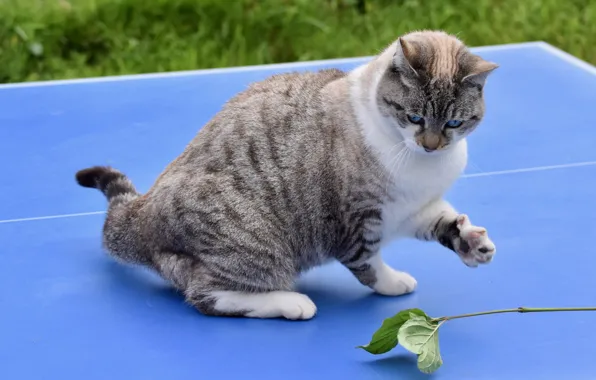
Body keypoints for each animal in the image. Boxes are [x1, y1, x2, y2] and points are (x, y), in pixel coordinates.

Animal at [78, 30, 498, 320]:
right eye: (414, 117)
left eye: (454, 123)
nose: (431, 145)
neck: (421, 163)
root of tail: (140, 215)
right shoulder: (358, 222)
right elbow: (370, 266)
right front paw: (393, 283)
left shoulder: (412, 208)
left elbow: (444, 221)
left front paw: (470, 241)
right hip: (257, 247)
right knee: (205, 296)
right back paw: (290, 302)